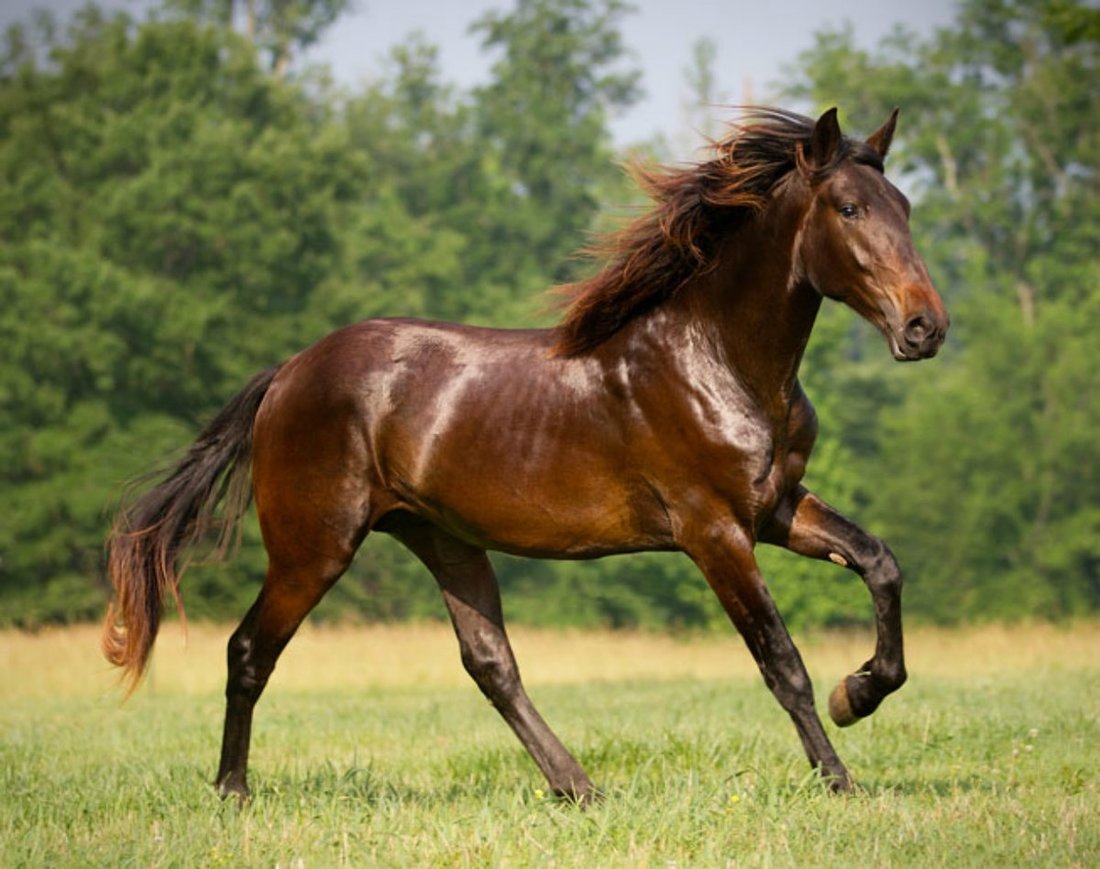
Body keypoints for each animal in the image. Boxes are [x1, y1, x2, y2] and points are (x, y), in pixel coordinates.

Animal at [101, 107, 946, 805]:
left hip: (441, 537)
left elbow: (880, 562)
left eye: (906, 207)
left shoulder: (774, 509)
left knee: (490, 664)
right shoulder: (715, 532)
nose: (925, 327)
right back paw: (232, 791)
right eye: (849, 208)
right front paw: (840, 775)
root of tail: (287, 374)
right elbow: (781, 659)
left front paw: (861, 690)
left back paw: (578, 786)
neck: (716, 359)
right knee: (250, 649)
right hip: (314, 546)